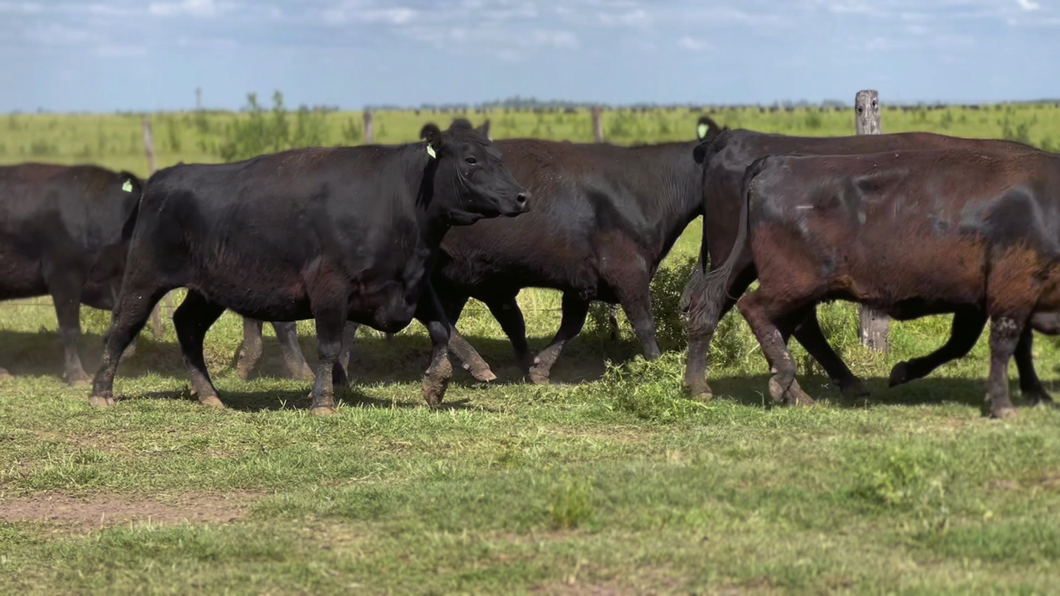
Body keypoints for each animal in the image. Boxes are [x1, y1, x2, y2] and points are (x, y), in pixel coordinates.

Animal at [89, 118, 527, 411]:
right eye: (470, 159)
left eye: (500, 157)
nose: (522, 196)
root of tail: (160, 179)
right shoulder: (330, 287)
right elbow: (329, 347)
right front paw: (323, 400)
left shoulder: (412, 285)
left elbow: (441, 329)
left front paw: (436, 385)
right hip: (145, 275)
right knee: (123, 325)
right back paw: (101, 392)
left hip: (209, 288)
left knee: (187, 325)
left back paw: (210, 395)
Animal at [233, 116, 729, 386]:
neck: (644, 186)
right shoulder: (627, 270)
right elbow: (643, 323)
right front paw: (662, 368)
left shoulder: (578, 280)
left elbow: (562, 325)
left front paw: (538, 368)